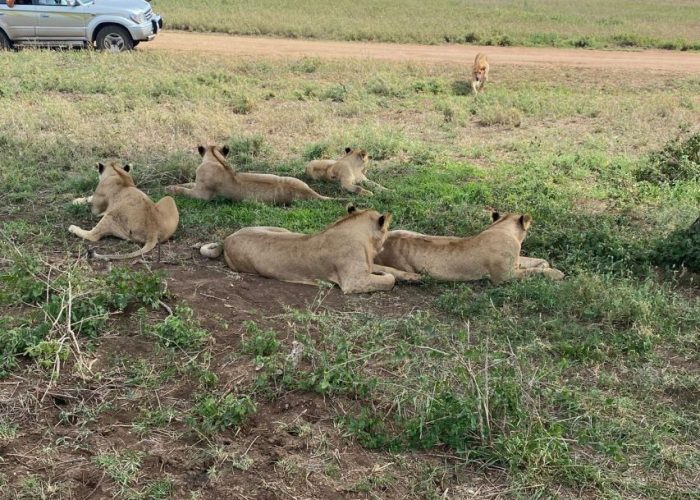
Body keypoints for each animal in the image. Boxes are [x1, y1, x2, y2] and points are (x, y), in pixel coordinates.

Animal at [170, 145, 334, 205]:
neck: (216, 159)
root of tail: (308, 191)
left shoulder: (202, 195)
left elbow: (185, 191)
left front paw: (171, 189)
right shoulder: (197, 185)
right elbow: (187, 184)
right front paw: (175, 184)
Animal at [200, 205, 424, 294]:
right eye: (387, 230)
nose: (389, 235)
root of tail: (227, 238)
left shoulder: (366, 267)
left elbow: (391, 270)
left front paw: (414, 277)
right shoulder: (353, 282)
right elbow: (389, 279)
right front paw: (387, 276)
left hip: (282, 229)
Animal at [374, 210, 568, 282]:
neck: (501, 228)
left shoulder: (515, 262)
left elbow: (533, 261)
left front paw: (544, 264)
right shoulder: (505, 276)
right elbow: (532, 272)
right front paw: (555, 272)